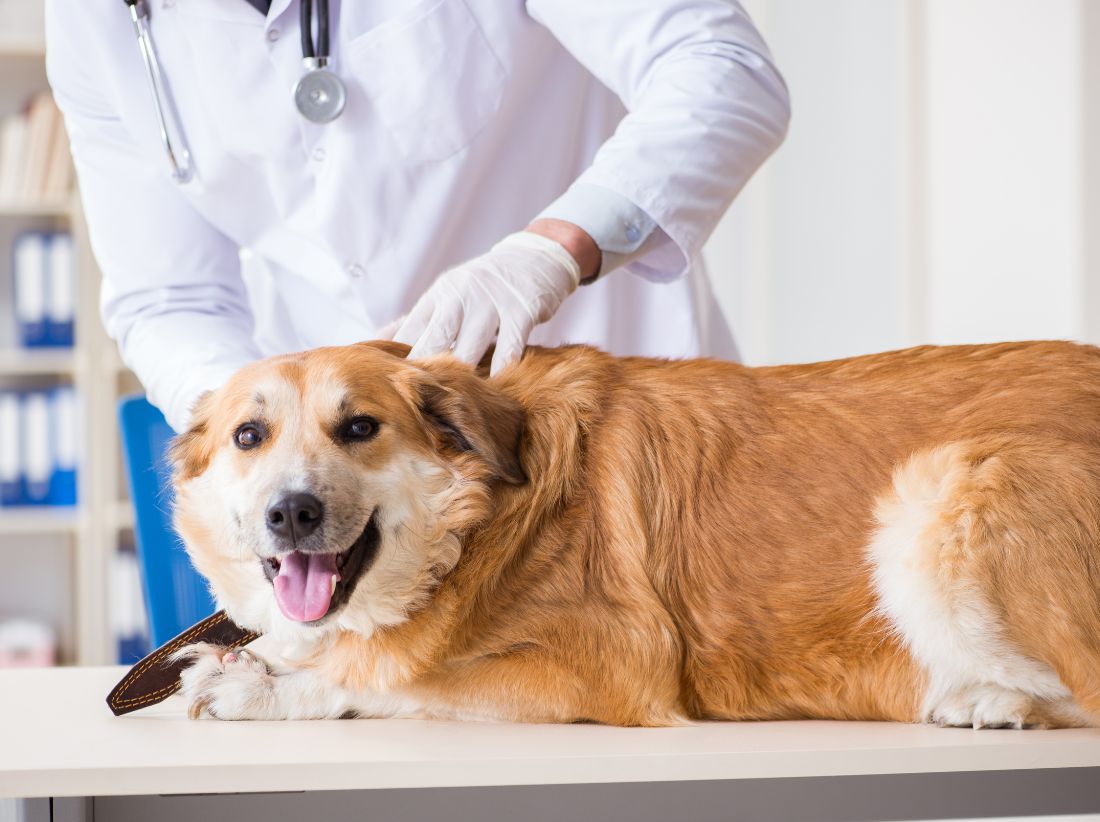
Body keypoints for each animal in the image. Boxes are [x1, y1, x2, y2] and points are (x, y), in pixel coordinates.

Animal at [171, 341, 1100, 726]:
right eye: (249, 436)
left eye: (359, 427)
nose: (291, 513)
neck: (478, 527)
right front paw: (260, 657)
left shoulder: (613, 661)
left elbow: (396, 672)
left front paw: (266, 688)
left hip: (942, 485)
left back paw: (987, 699)